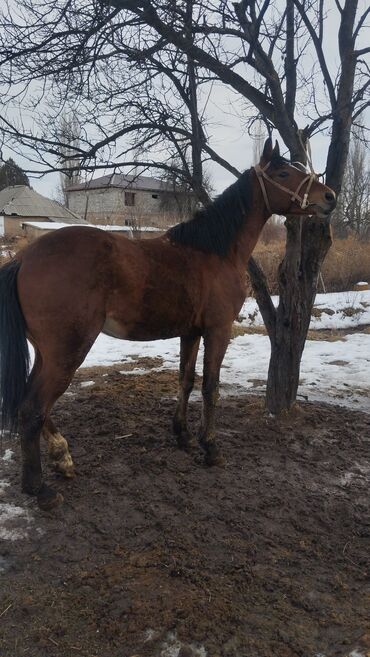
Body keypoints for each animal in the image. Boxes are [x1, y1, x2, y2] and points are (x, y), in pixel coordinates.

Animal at [0, 137, 336, 508]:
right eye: (283, 173)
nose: (329, 197)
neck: (213, 251)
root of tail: (24, 258)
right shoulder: (218, 331)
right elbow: (210, 387)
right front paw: (211, 448)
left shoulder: (191, 333)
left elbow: (185, 381)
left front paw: (183, 436)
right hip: (67, 353)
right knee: (32, 408)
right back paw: (40, 488)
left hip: (48, 354)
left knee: (33, 402)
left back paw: (63, 458)